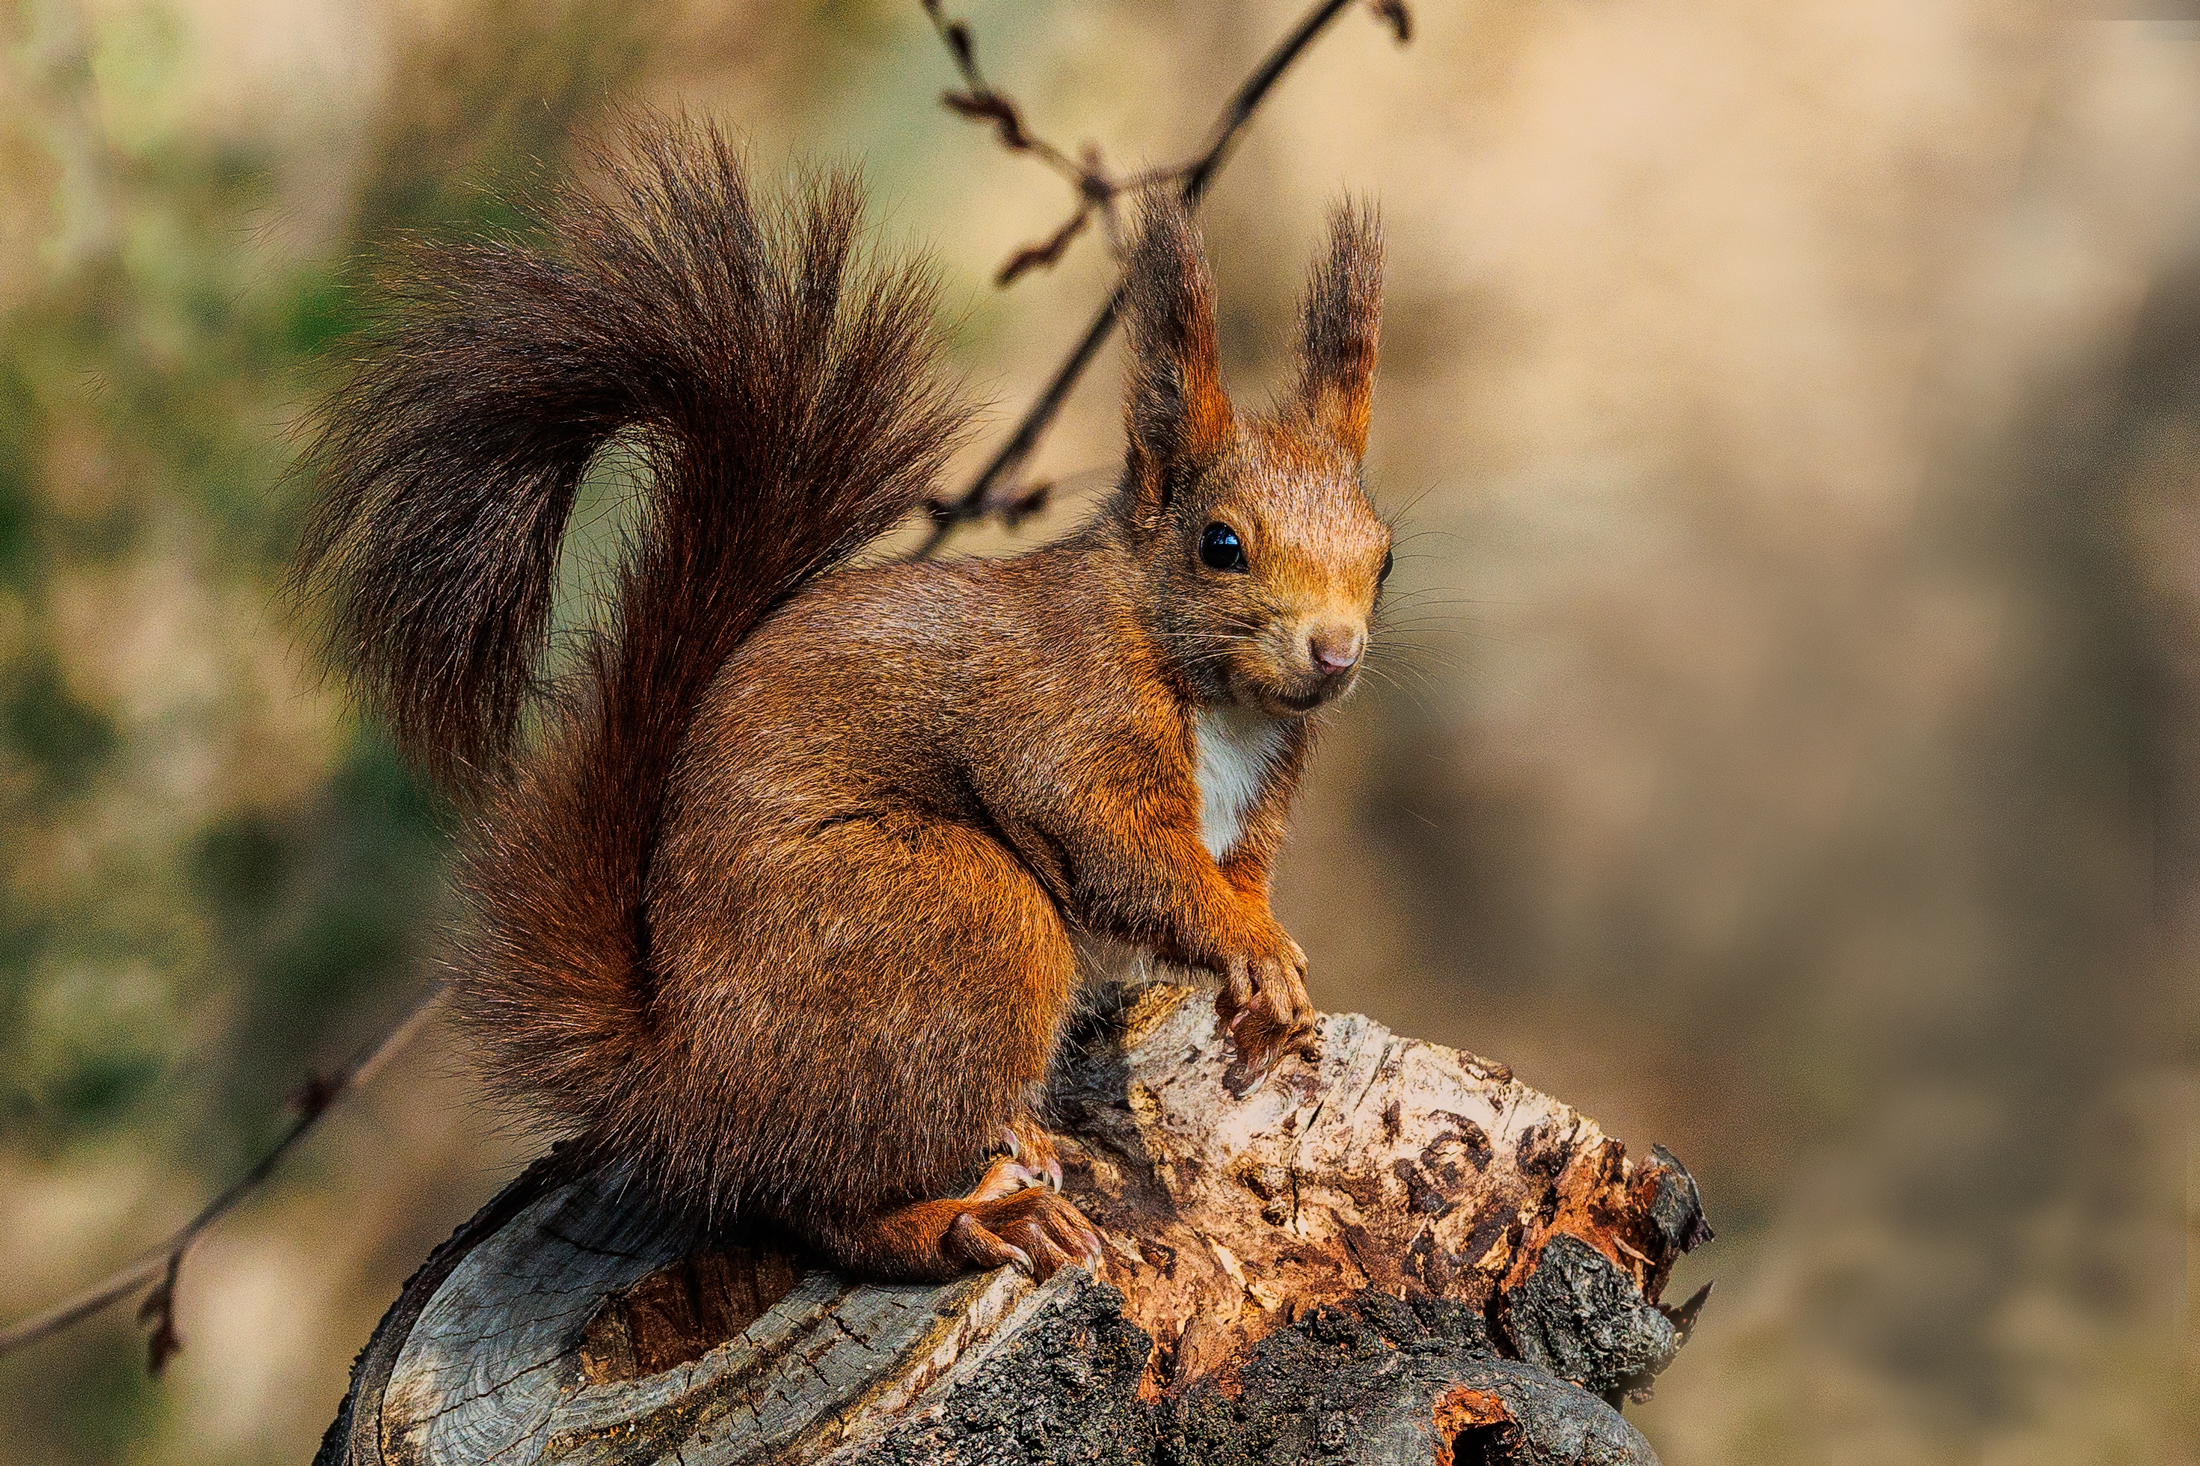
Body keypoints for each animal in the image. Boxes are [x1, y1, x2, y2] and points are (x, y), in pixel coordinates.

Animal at [297, 117, 1390, 1284]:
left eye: (1384, 558)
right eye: (1220, 544)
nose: (1334, 653)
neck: (1213, 693)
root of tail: (683, 1080)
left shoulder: (1258, 799)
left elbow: (1237, 878)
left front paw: (1268, 1004)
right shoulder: (1071, 722)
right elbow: (1128, 857)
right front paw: (1254, 953)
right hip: (950, 913)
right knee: (819, 1203)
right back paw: (973, 1217)